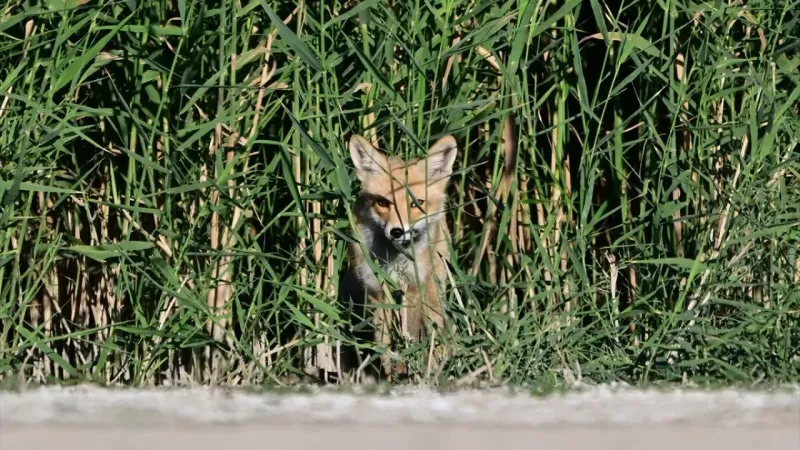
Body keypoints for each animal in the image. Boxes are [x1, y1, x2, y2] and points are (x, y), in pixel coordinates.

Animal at [338, 133, 460, 380]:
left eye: (416, 203)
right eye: (383, 203)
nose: (397, 231)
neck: (394, 259)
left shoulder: (413, 289)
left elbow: (410, 336)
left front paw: (408, 372)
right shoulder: (377, 292)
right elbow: (383, 343)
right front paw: (386, 374)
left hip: (433, 292)